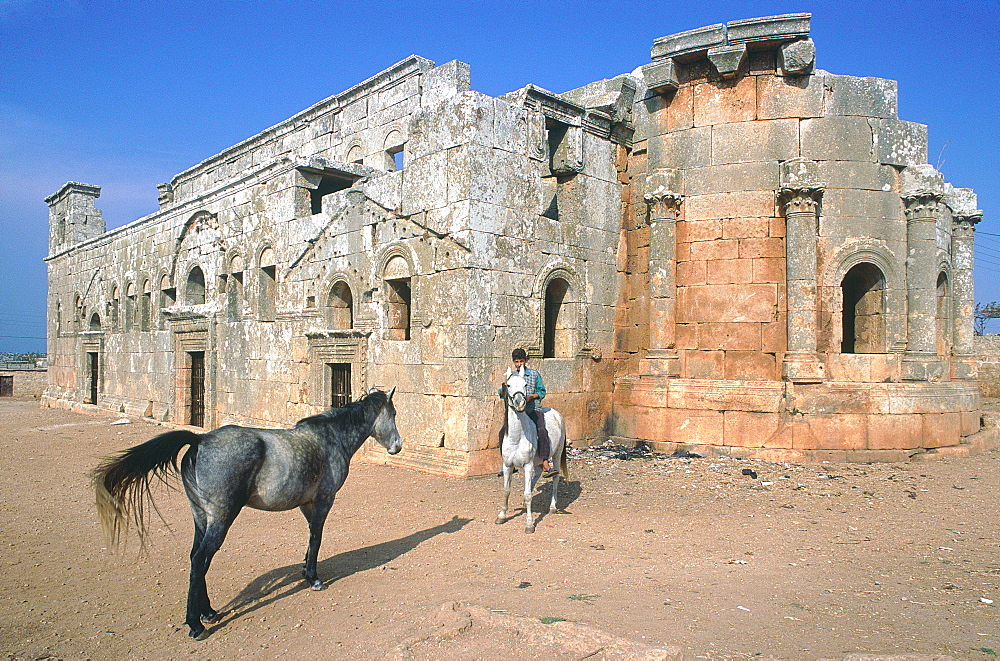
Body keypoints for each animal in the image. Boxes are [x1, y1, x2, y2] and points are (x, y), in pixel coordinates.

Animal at [496, 364, 568, 532]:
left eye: (525, 385)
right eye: (508, 385)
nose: (520, 403)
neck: (517, 437)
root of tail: (557, 414)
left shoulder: (527, 465)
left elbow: (528, 494)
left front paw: (529, 524)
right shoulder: (507, 465)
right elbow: (506, 491)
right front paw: (502, 516)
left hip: (556, 455)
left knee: (554, 478)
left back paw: (553, 506)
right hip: (537, 461)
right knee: (539, 471)